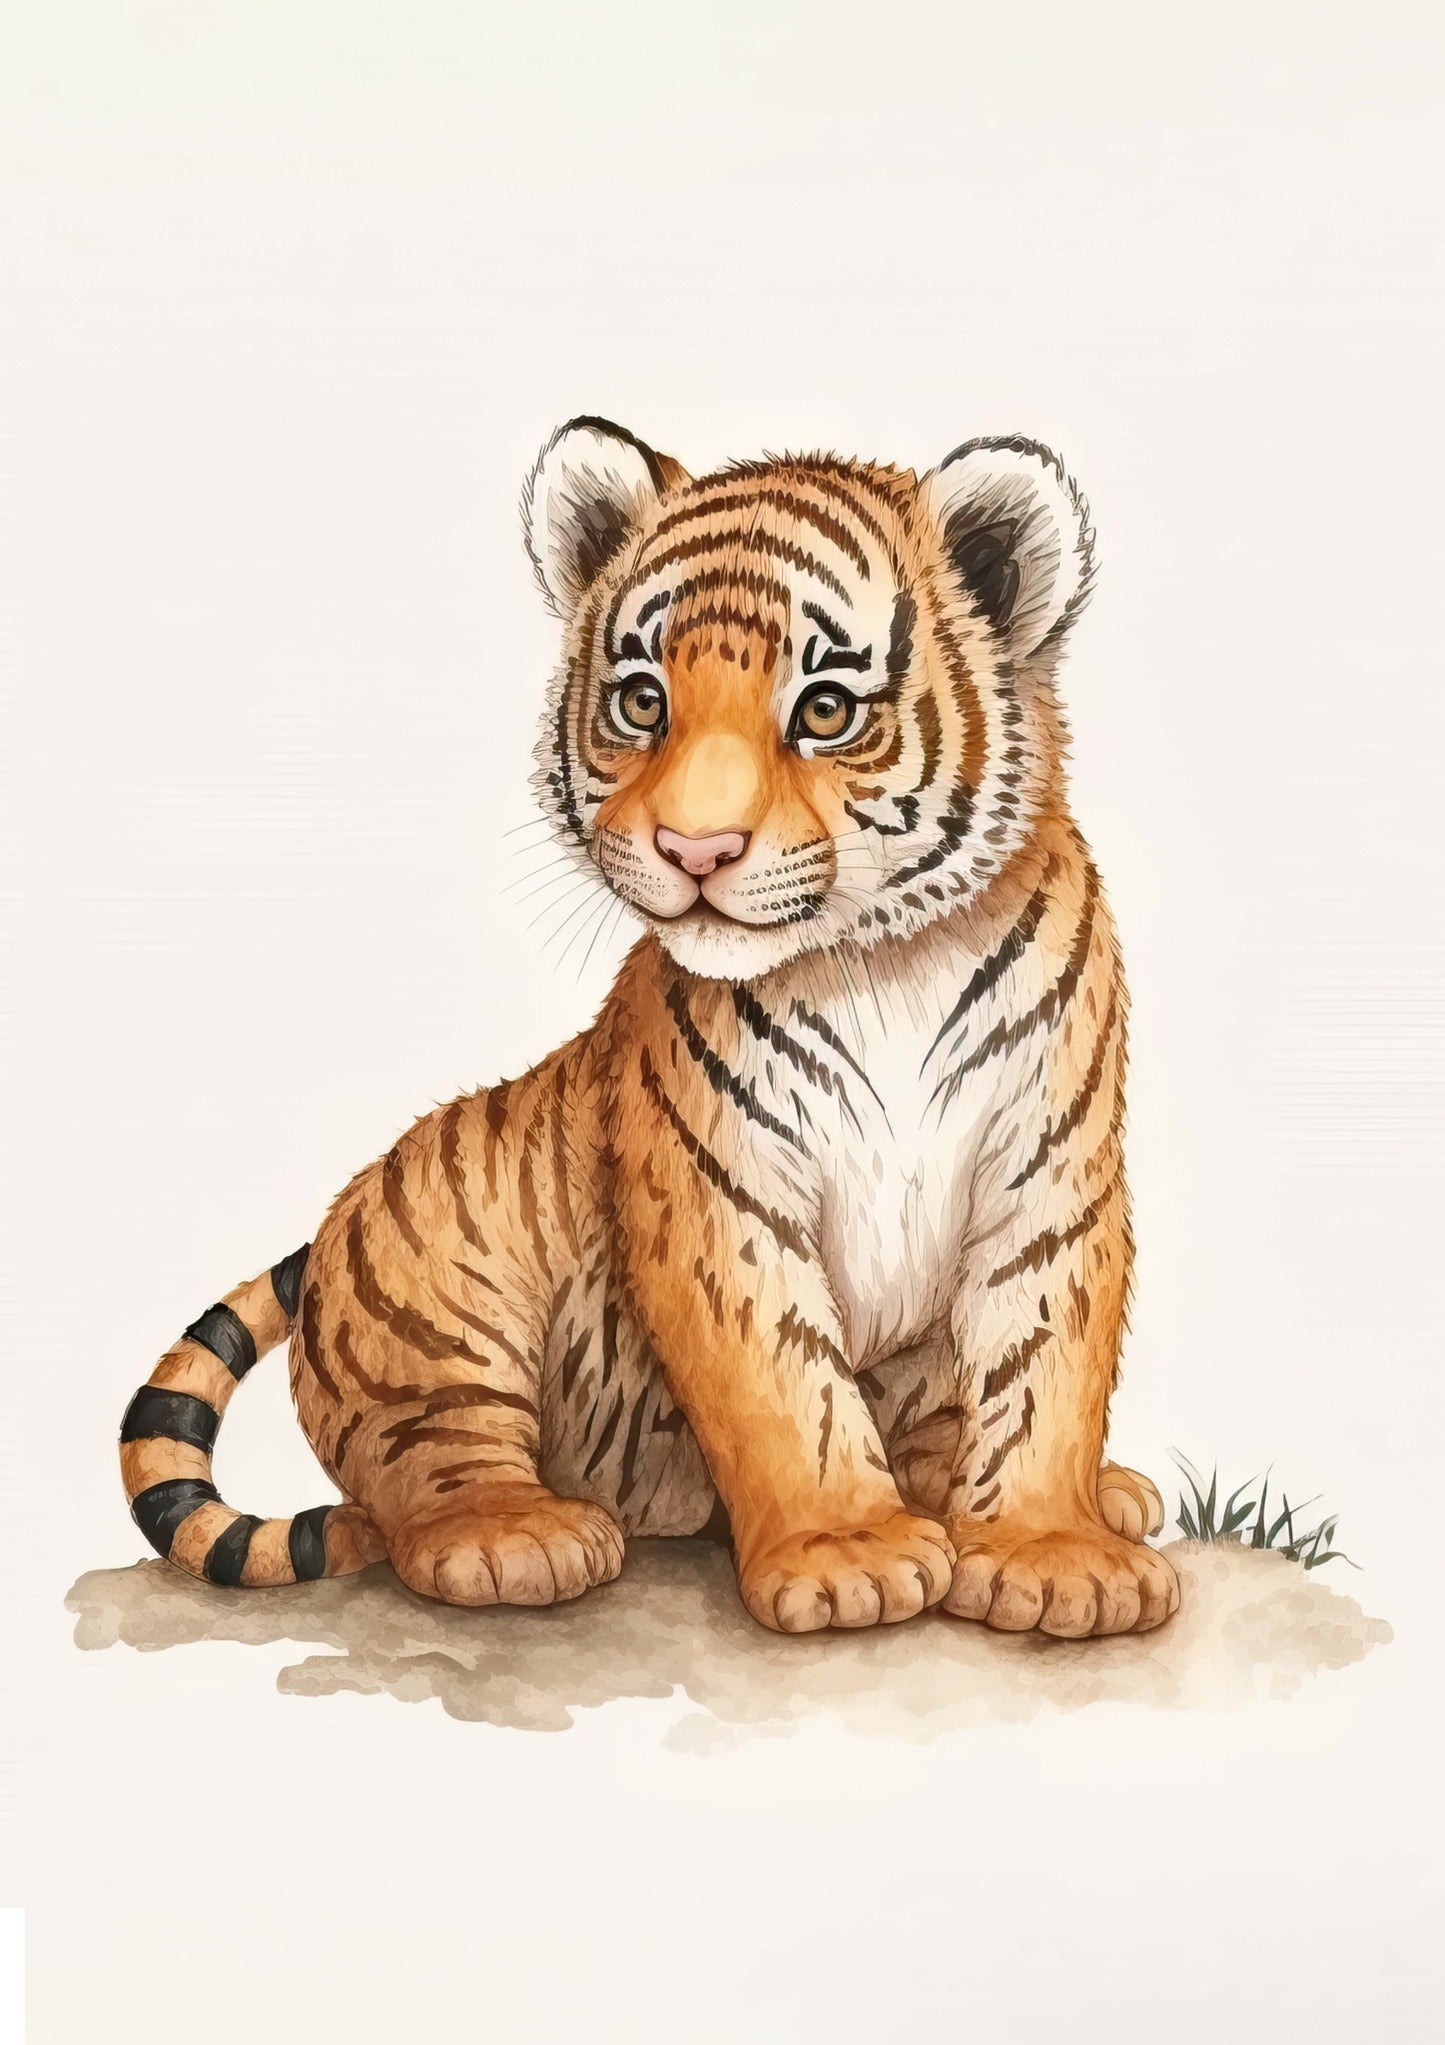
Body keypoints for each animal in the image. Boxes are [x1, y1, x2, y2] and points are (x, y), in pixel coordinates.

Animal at [118, 416, 1178, 1638]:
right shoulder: (716, 1187)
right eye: (640, 699)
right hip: (432, 1284)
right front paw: (847, 1553)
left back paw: (1073, 1487)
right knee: (422, 1471)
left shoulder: (1049, 1165)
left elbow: (1045, 1363)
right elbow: (781, 1380)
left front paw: (1056, 1551)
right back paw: (516, 1536)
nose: (693, 848)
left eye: (824, 709)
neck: (879, 962)